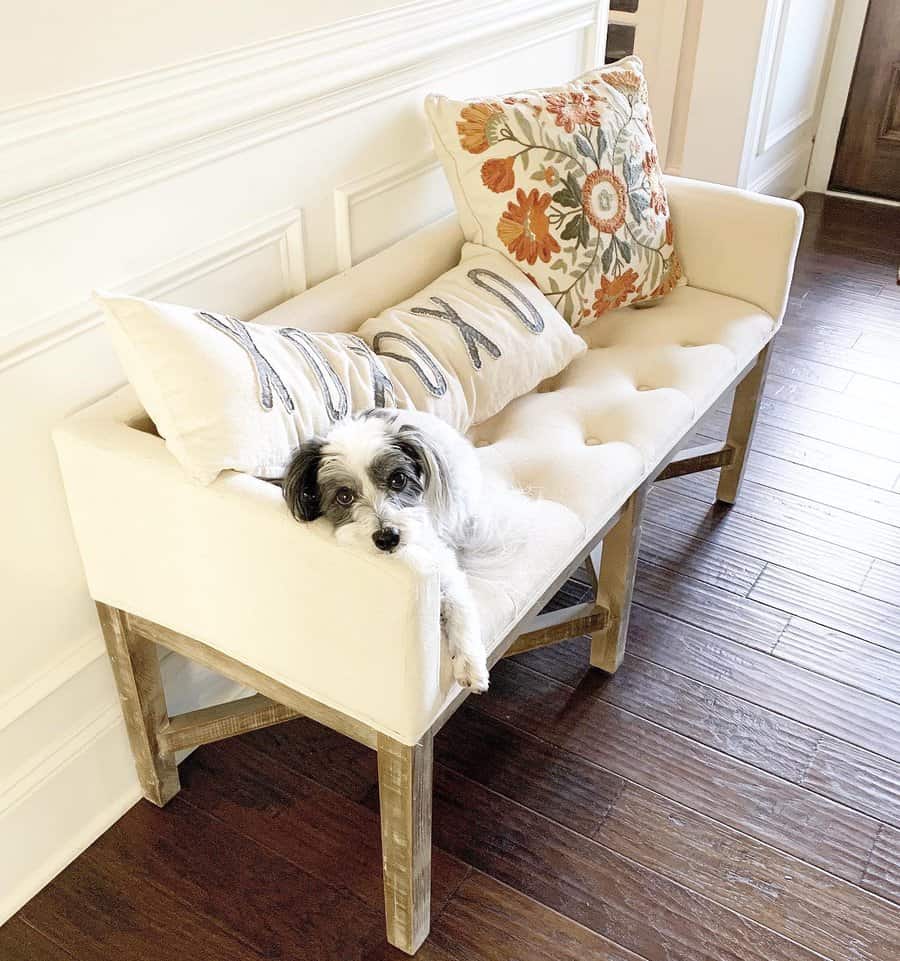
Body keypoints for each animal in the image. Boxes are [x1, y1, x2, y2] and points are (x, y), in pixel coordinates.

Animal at [282, 404, 510, 688]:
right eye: (344, 496)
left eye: (398, 479)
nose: (387, 537)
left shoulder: (441, 562)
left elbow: (460, 605)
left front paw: (470, 664)